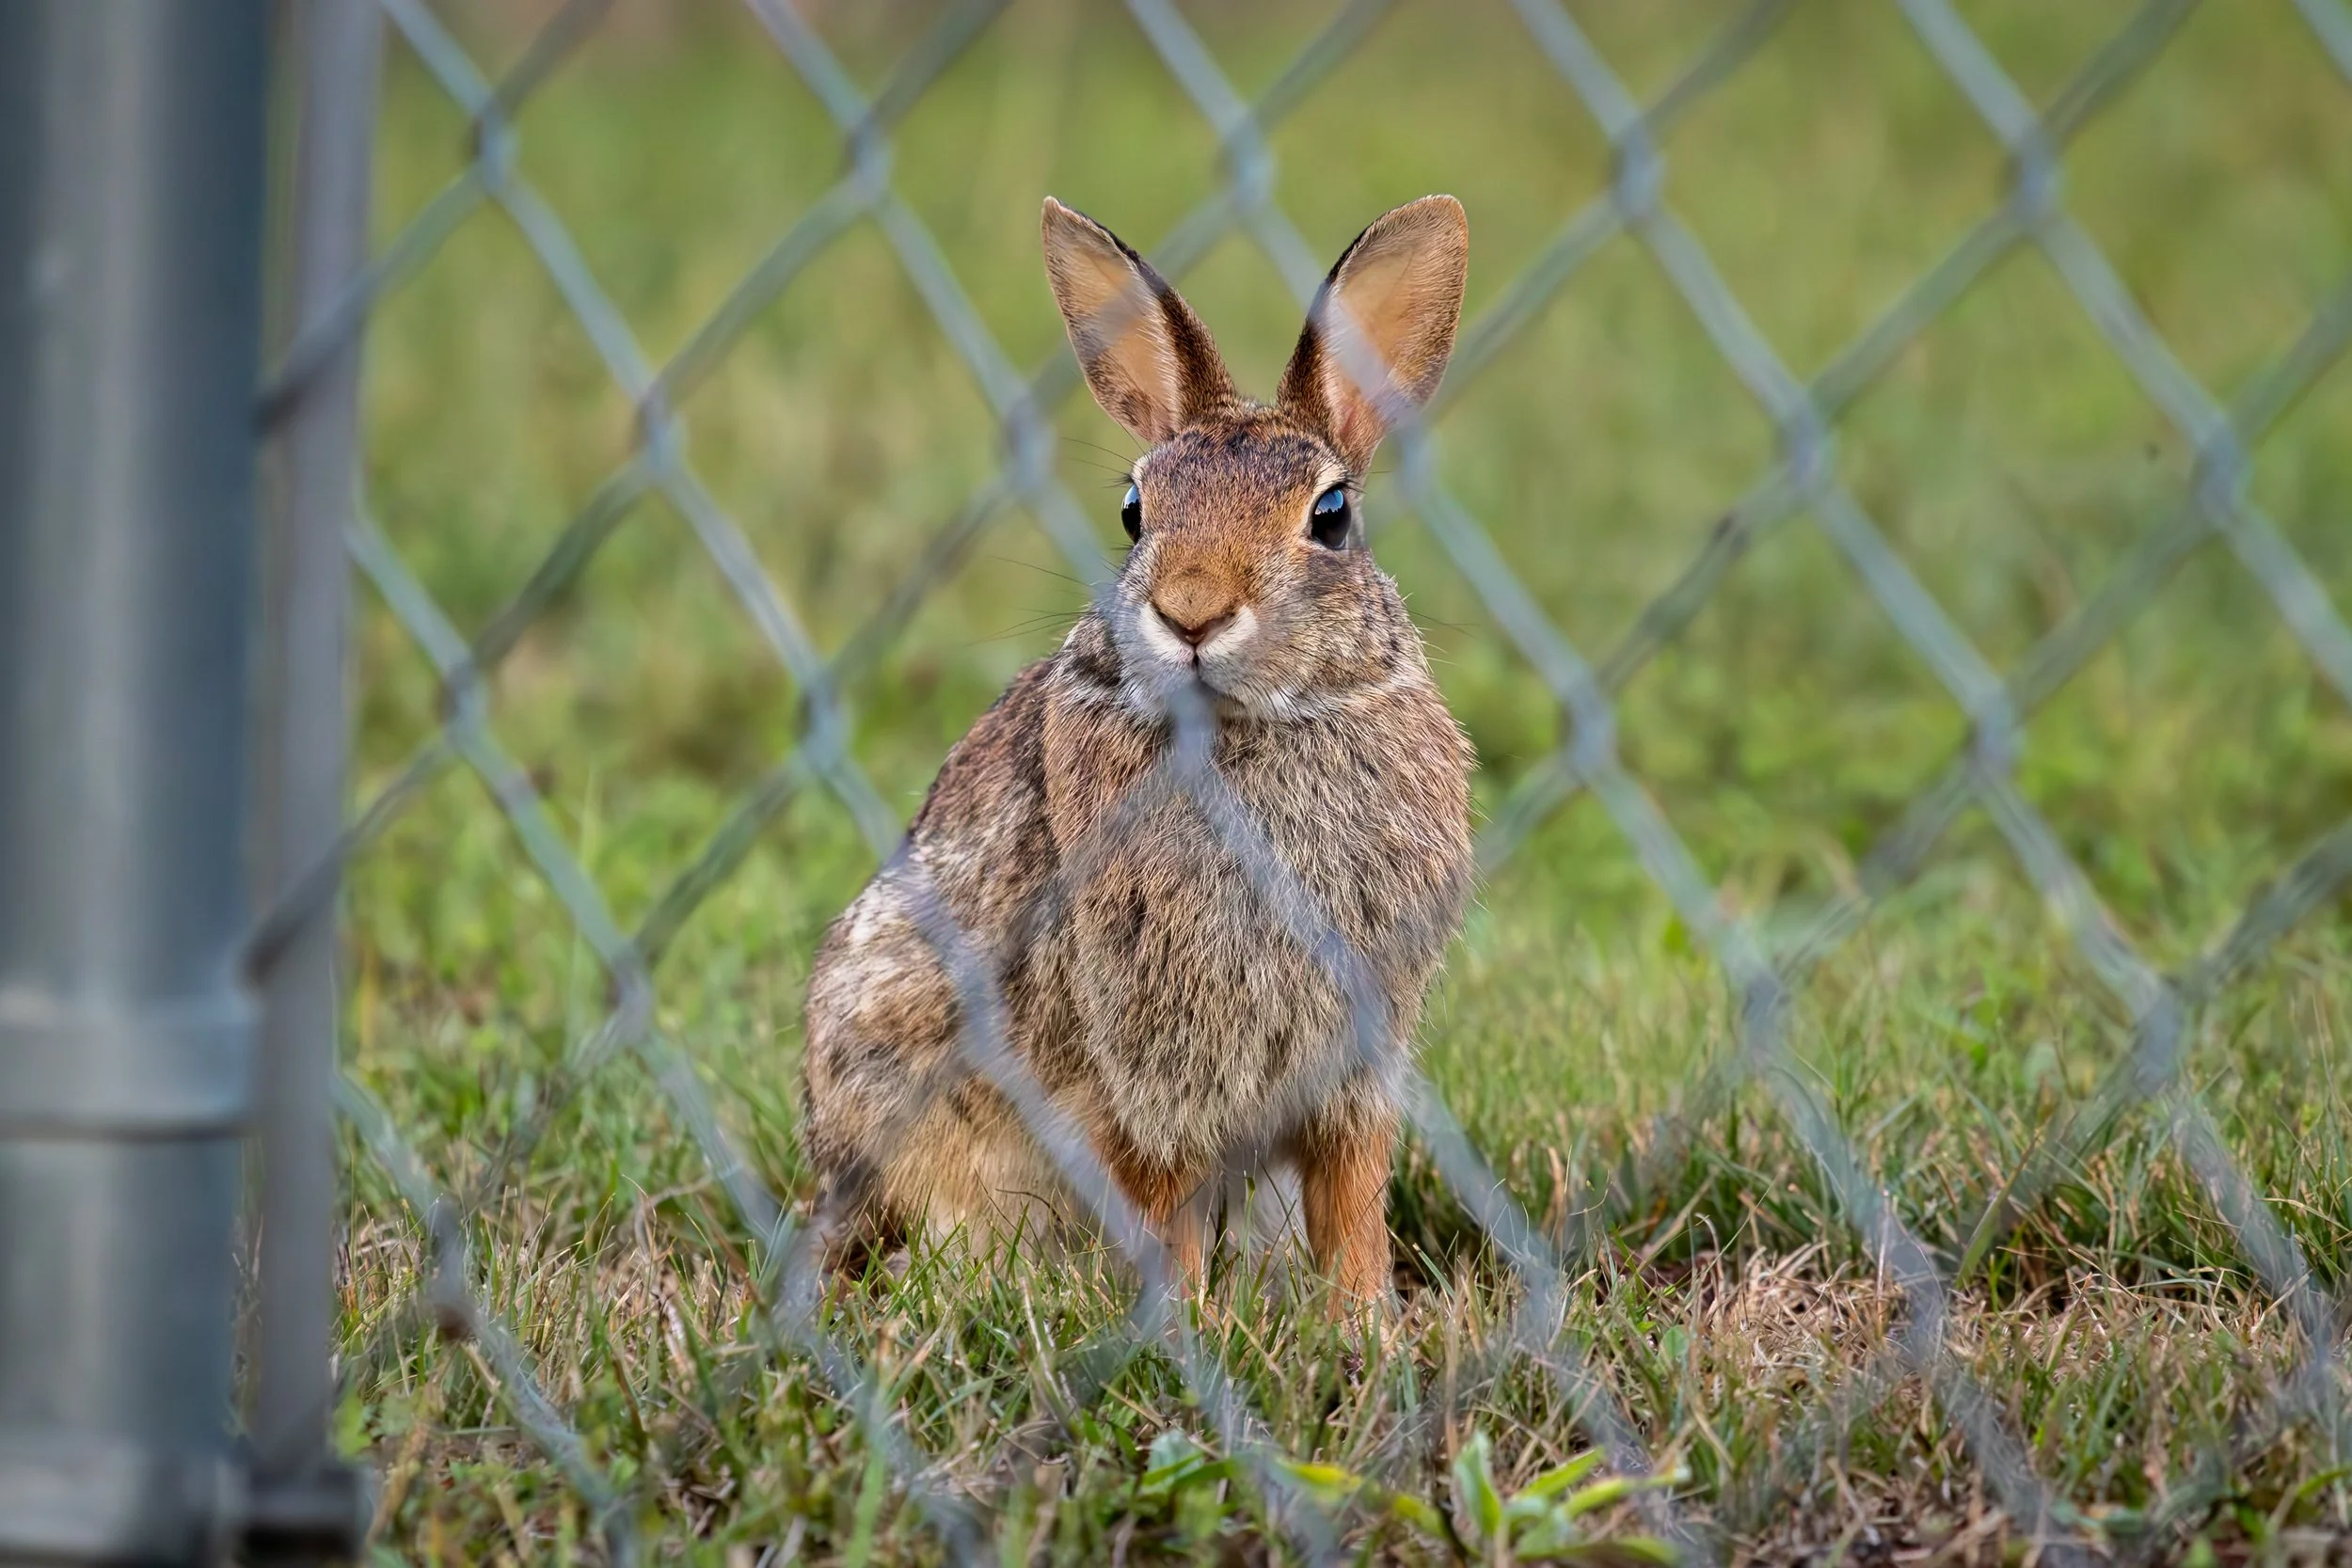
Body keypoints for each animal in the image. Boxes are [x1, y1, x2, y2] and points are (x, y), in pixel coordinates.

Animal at [799, 194, 1475, 1303]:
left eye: (1331, 516)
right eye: (1134, 511)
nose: (1190, 610)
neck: (1246, 731)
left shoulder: (1354, 1065)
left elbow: (1351, 1201)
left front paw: (1365, 1319)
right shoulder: (1147, 1069)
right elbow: (1168, 1207)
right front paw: (1189, 1321)